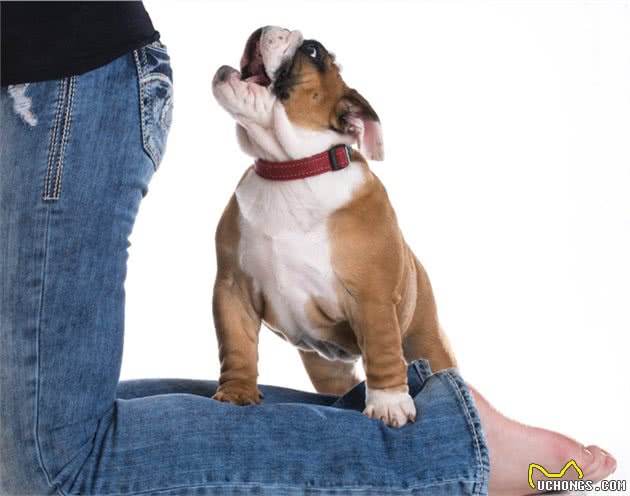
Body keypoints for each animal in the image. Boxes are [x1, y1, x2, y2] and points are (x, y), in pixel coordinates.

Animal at [211, 26, 456, 427]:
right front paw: (236, 393)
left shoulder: (372, 295)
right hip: (326, 366)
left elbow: (382, 349)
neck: (292, 170)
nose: (267, 27)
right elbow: (237, 346)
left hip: (426, 338)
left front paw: (388, 403)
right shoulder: (233, 290)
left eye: (312, 51)